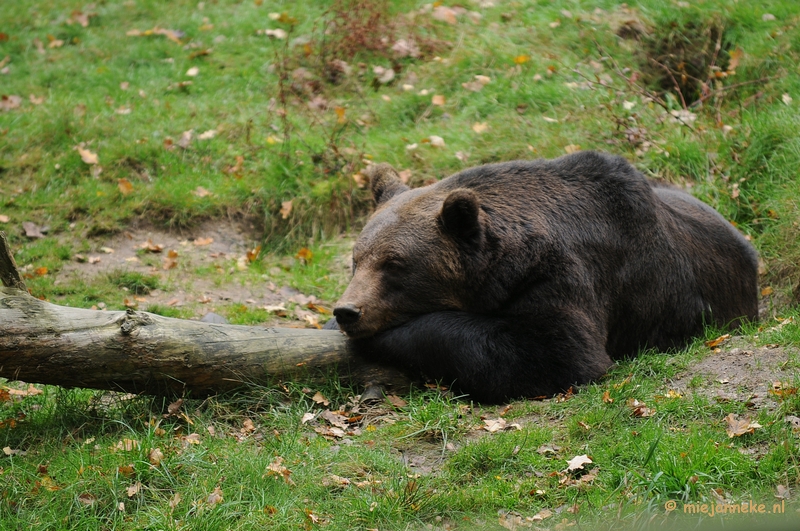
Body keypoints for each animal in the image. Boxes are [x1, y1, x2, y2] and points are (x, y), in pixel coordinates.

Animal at [324, 152, 756, 402]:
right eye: (357, 258)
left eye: (394, 264)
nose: (348, 311)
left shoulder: (562, 275)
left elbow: (558, 352)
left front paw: (387, 337)